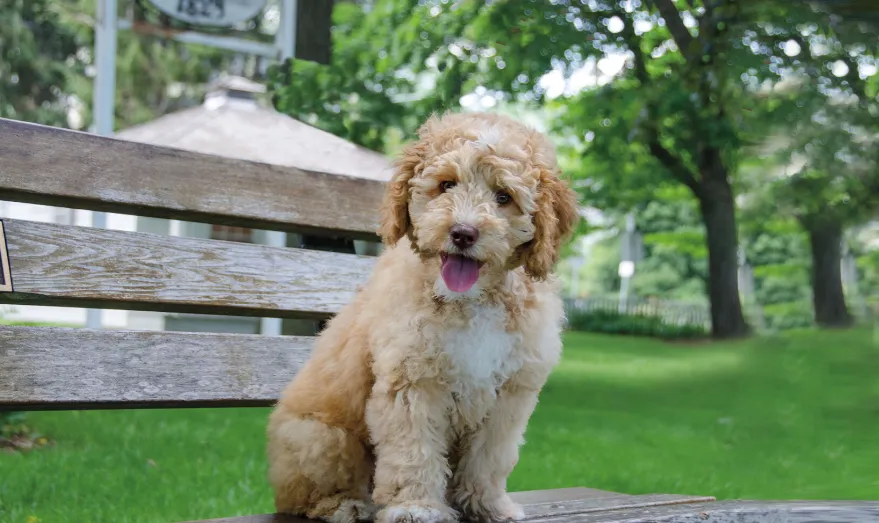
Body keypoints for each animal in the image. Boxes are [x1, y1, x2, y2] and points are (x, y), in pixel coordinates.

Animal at [268, 110, 584, 523]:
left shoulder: (509, 394)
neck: (470, 301)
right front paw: (415, 507)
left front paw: (487, 505)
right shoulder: (413, 381)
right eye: (446, 184)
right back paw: (344, 504)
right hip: (323, 438)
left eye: (504, 197)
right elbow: (413, 450)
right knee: (306, 493)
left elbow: (489, 457)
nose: (463, 233)